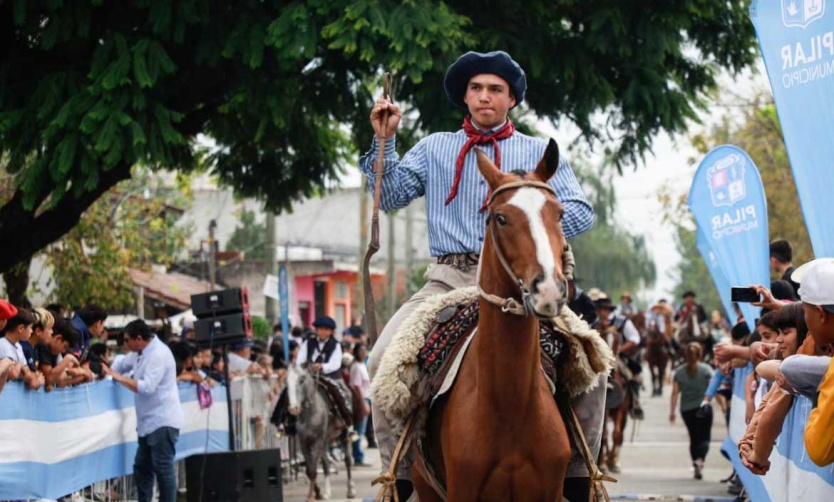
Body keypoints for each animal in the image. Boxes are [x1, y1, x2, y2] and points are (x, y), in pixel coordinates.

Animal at [412, 139, 568, 500]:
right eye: (501, 218)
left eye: (560, 214)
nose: (549, 290)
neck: (510, 405)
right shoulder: (461, 489)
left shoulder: (551, 490)